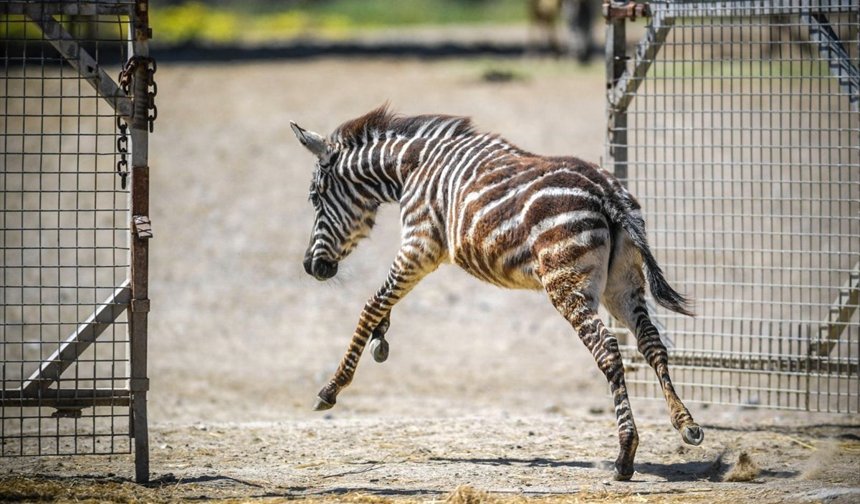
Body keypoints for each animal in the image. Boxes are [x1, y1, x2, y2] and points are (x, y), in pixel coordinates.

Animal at [290, 106, 703, 480]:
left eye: (315, 198)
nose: (311, 267)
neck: (410, 168)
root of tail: (608, 193)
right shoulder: (419, 251)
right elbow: (384, 302)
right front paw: (381, 339)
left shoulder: (420, 245)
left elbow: (371, 304)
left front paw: (332, 388)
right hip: (622, 285)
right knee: (652, 344)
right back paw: (685, 423)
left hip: (567, 283)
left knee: (608, 352)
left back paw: (625, 455)